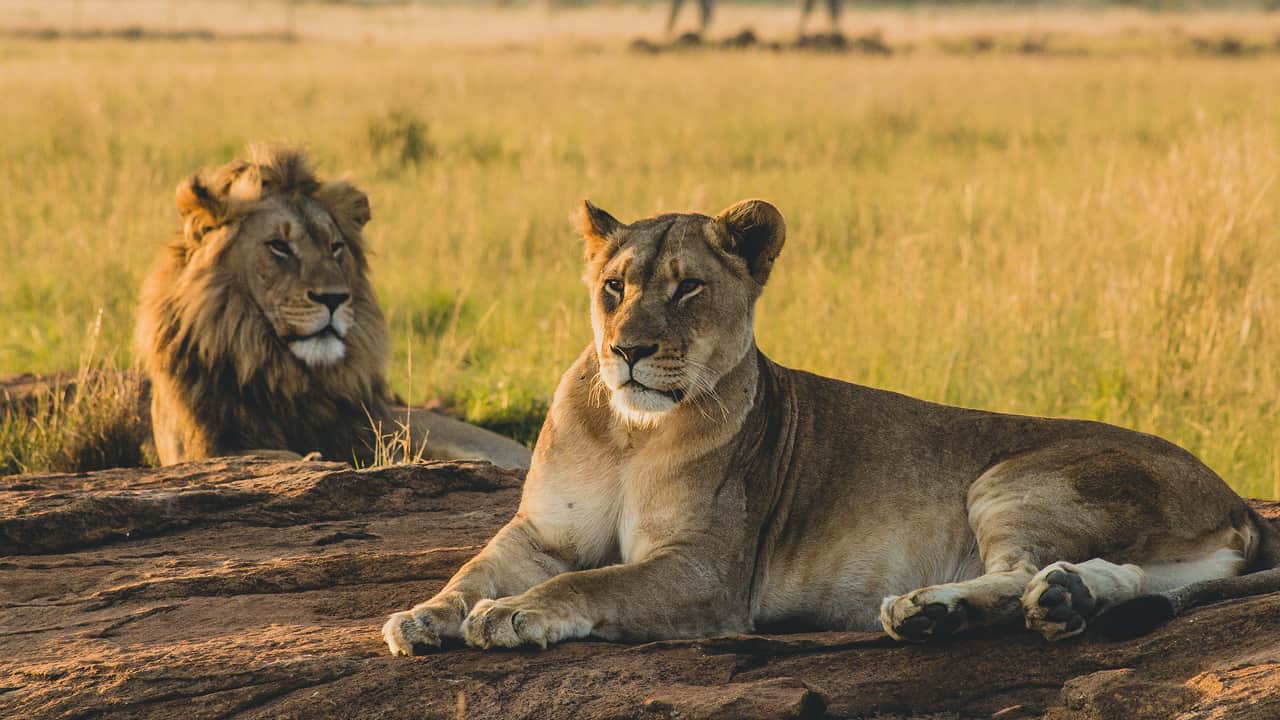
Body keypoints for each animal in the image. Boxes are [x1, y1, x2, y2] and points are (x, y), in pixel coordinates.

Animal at [381, 197, 1280, 650]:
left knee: (1021, 569)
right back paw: (1053, 601)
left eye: (688, 288)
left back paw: (934, 609)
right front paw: (425, 616)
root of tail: (1237, 500)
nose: (627, 350)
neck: (630, 433)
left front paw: (512, 616)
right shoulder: (540, 531)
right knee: (1117, 577)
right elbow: (475, 568)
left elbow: (590, 583)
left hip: (1010, 478)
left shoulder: (706, 572)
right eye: (613, 286)